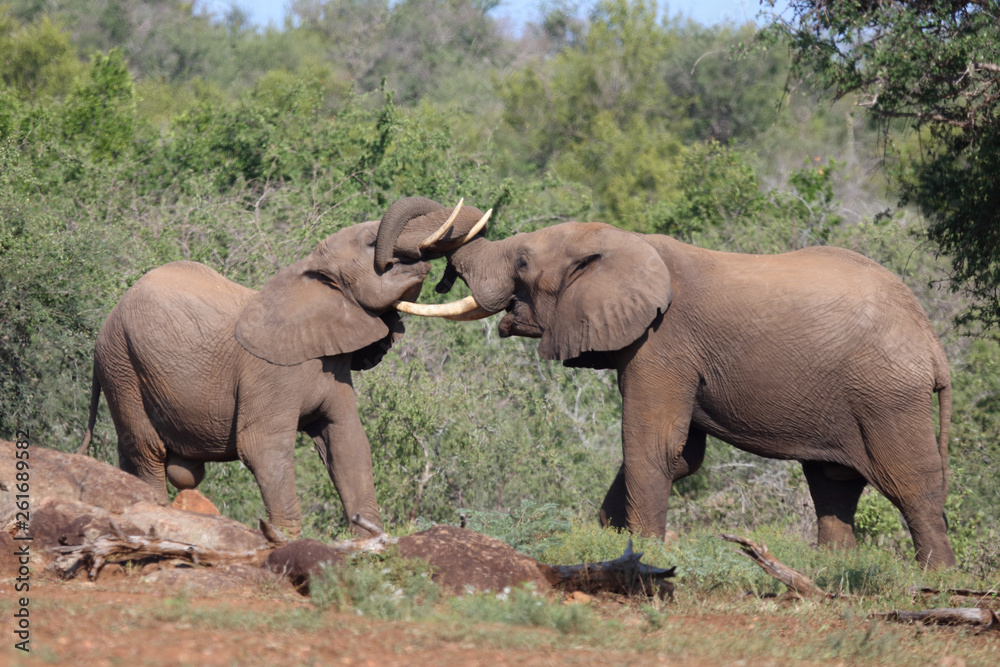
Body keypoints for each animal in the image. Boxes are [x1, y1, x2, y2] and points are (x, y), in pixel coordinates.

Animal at [78, 198, 490, 537]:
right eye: (372, 244)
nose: (440, 272)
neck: (308, 274)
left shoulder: (334, 367)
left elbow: (348, 442)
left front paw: (369, 538)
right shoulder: (268, 371)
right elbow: (262, 447)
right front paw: (284, 538)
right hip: (122, 366)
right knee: (148, 450)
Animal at [376, 215, 956, 567]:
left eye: (521, 263)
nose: (432, 270)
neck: (622, 242)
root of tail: (932, 343)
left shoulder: (662, 343)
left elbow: (652, 447)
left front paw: (642, 555)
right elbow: (680, 457)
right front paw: (606, 542)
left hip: (887, 395)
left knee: (910, 485)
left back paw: (937, 579)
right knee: (833, 486)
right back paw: (830, 567)